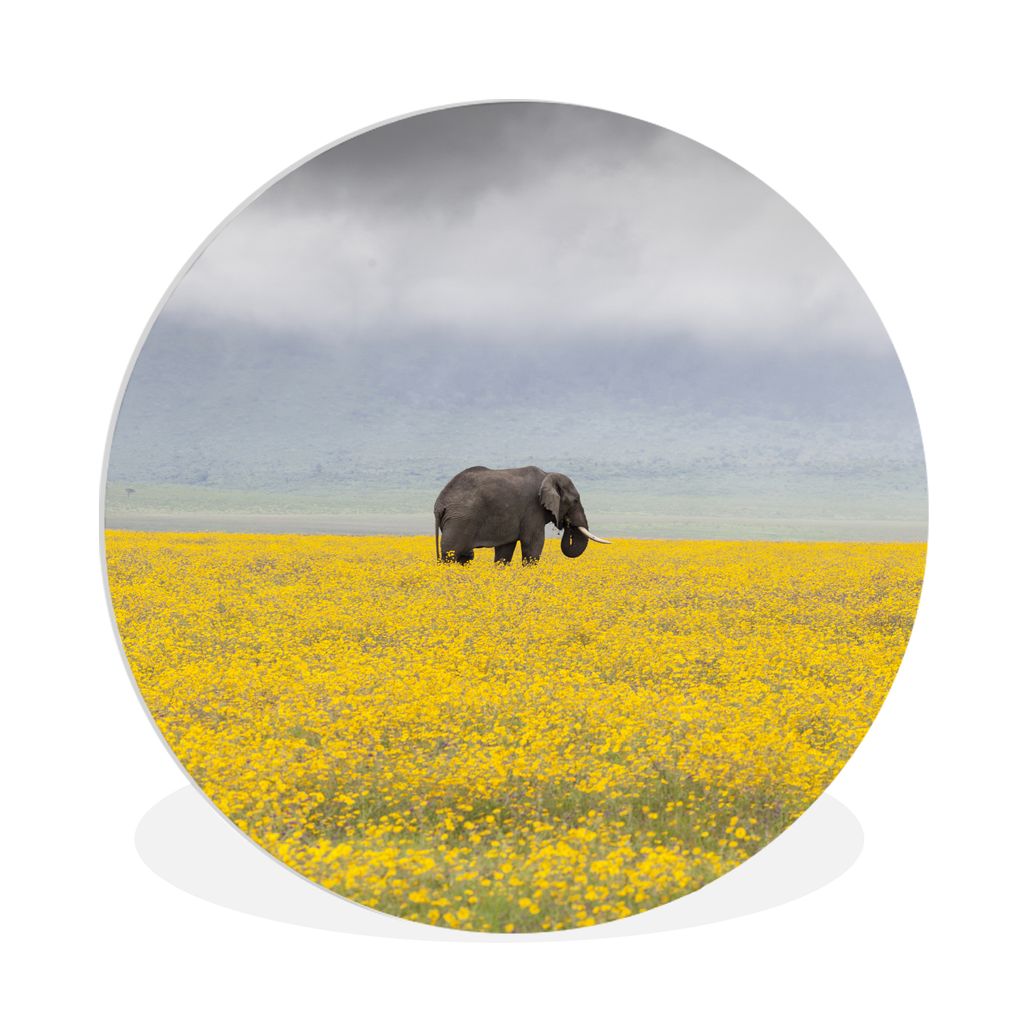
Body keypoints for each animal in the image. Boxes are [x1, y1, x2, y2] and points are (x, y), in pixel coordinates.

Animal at [433, 465, 610, 565]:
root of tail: (440, 504)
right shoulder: (533, 508)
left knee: (464, 556)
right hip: (460, 520)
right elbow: (533, 544)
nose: (565, 524)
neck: (547, 474)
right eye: (575, 500)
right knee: (452, 554)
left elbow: (505, 551)